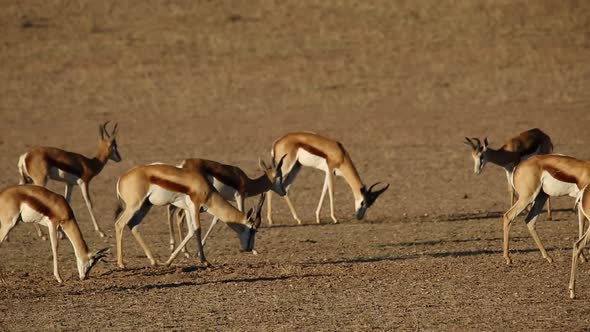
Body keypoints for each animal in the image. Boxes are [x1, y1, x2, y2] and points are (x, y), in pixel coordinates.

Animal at [114, 164, 266, 270]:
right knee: (120, 224)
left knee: (133, 225)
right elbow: (197, 229)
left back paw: (154, 261)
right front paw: (205, 261)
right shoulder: (195, 206)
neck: (205, 189)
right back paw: (121, 264)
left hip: (146, 205)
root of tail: (121, 178)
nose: (249, 248)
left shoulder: (188, 209)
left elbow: (191, 231)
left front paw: (168, 262)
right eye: (252, 229)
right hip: (134, 206)